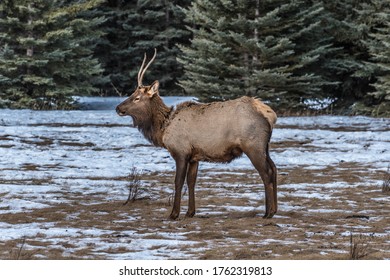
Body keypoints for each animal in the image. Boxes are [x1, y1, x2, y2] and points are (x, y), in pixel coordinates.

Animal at [116, 50, 278, 221]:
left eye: (137, 97)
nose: (118, 108)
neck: (163, 127)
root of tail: (270, 115)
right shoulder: (194, 156)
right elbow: (191, 182)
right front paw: (190, 212)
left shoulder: (181, 152)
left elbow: (178, 182)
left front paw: (174, 213)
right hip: (265, 147)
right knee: (274, 168)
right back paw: (274, 210)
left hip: (253, 146)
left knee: (266, 173)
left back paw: (268, 213)